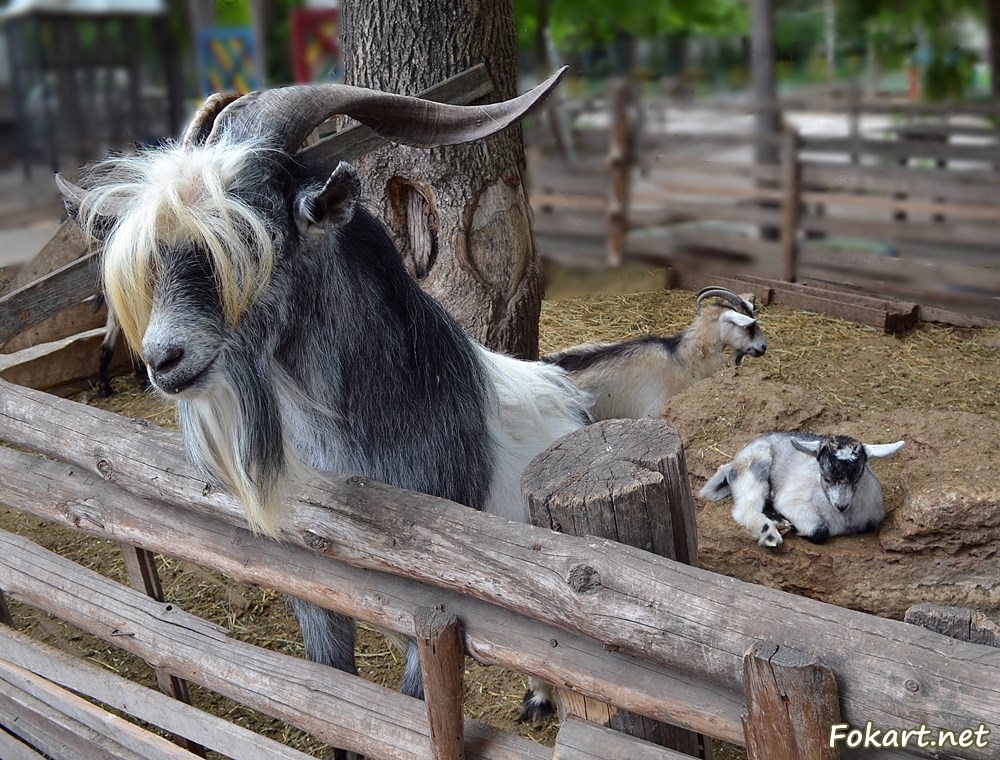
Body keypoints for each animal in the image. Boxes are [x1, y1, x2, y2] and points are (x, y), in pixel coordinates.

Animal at [55, 72, 587, 747]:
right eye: (157, 251)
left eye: (255, 241)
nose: (162, 358)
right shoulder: (314, 594)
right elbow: (332, 705)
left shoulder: (429, 616)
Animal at [699, 432, 904, 547]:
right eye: (825, 476)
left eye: (857, 477)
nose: (841, 505)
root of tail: (732, 464)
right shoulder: (791, 502)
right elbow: (820, 531)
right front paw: (795, 528)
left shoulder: (873, 516)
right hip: (755, 465)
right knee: (746, 509)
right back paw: (770, 533)